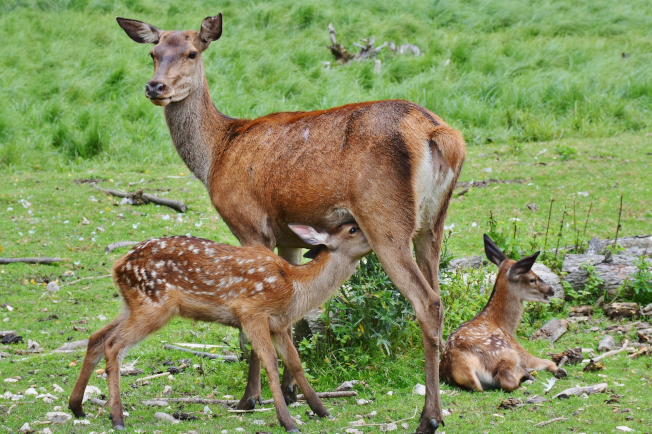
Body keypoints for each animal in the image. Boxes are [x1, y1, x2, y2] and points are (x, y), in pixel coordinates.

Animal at [68, 222, 372, 432]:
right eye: (353, 228)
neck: (295, 289)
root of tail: (118, 265)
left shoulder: (278, 324)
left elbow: (295, 362)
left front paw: (322, 410)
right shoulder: (252, 312)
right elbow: (270, 362)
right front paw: (288, 422)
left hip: (133, 304)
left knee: (96, 337)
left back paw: (77, 407)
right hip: (154, 305)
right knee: (113, 345)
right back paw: (117, 417)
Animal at [115, 14, 466, 432]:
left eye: (191, 52)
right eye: (153, 53)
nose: (156, 87)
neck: (217, 154)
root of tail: (439, 134)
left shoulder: (250, 224)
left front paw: (249, 398)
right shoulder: (289, 237)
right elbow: (293, 317)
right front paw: (292, 392)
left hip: (386, 220)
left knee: (426, 301)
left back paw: (429, 416)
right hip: (433, 223)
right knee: (438, 295)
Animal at [439, 235, 567, 392]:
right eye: (532, 279)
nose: (551, 290)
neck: (504, 326)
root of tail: (462, 368)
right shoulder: (520, 350)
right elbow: (549, 362)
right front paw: (559, 369)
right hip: (506, 353)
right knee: (507, 380)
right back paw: (527, 374)